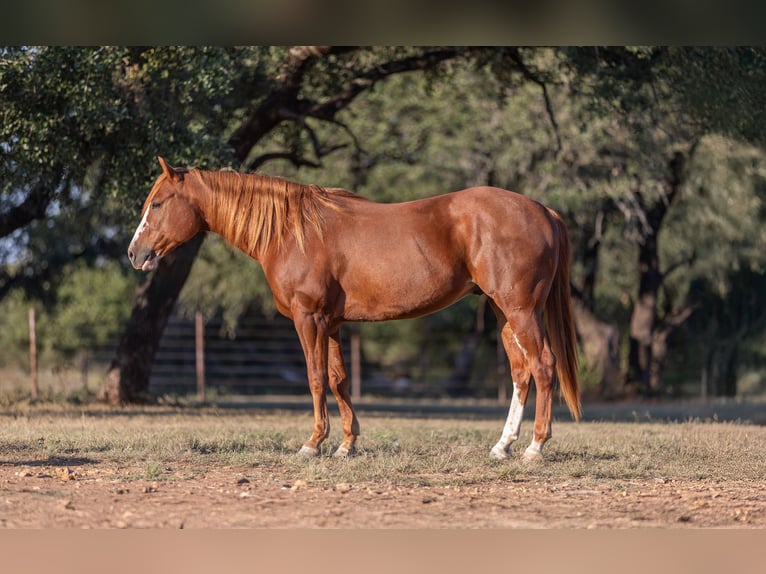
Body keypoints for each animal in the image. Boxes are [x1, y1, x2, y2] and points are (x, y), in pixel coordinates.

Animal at [129, 158, 584, 464]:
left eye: (158, 203)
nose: (135, 253)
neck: (292, 232)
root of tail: (543, 211)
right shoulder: (331, 323)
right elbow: (338, 379)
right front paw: (347, 444)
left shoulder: (308, 319)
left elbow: (315, 379)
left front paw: (313, 443)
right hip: (503, 312)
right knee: (521, 373)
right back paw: (502, 445)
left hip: (521, 310)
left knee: (543, 366)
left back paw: (535, 447)